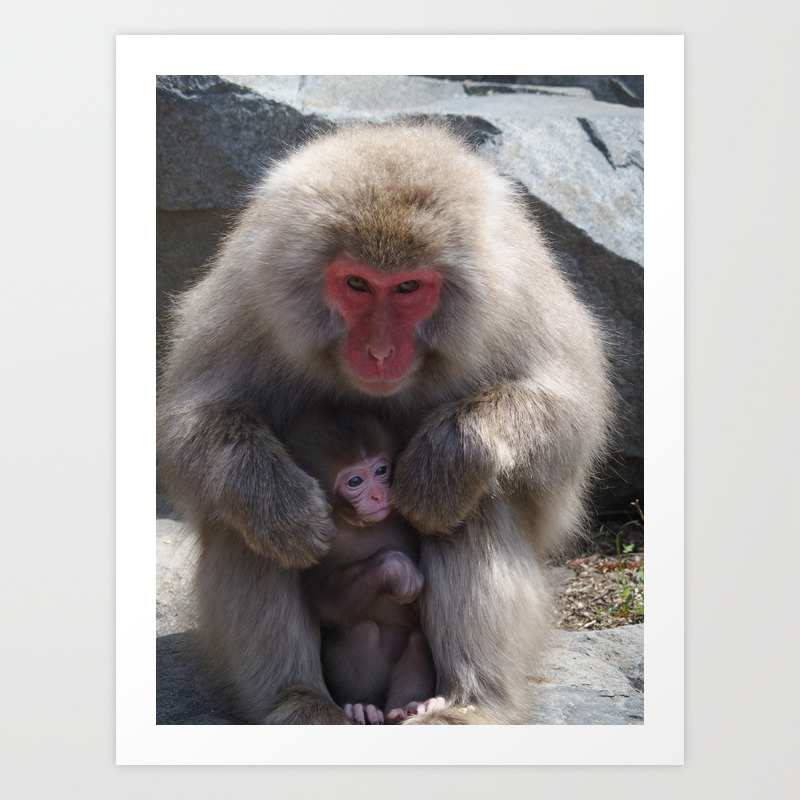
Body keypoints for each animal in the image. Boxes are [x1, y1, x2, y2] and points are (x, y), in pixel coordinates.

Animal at [286, 408, 442, 725]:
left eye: (381, 471)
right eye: (355, 481)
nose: (378, 496)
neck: (356, 523)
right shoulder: (315, 536)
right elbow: (325, 602)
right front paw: (396, 568)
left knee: (418, 640)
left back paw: (408, 707)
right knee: (362, 630)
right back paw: (362, 705)